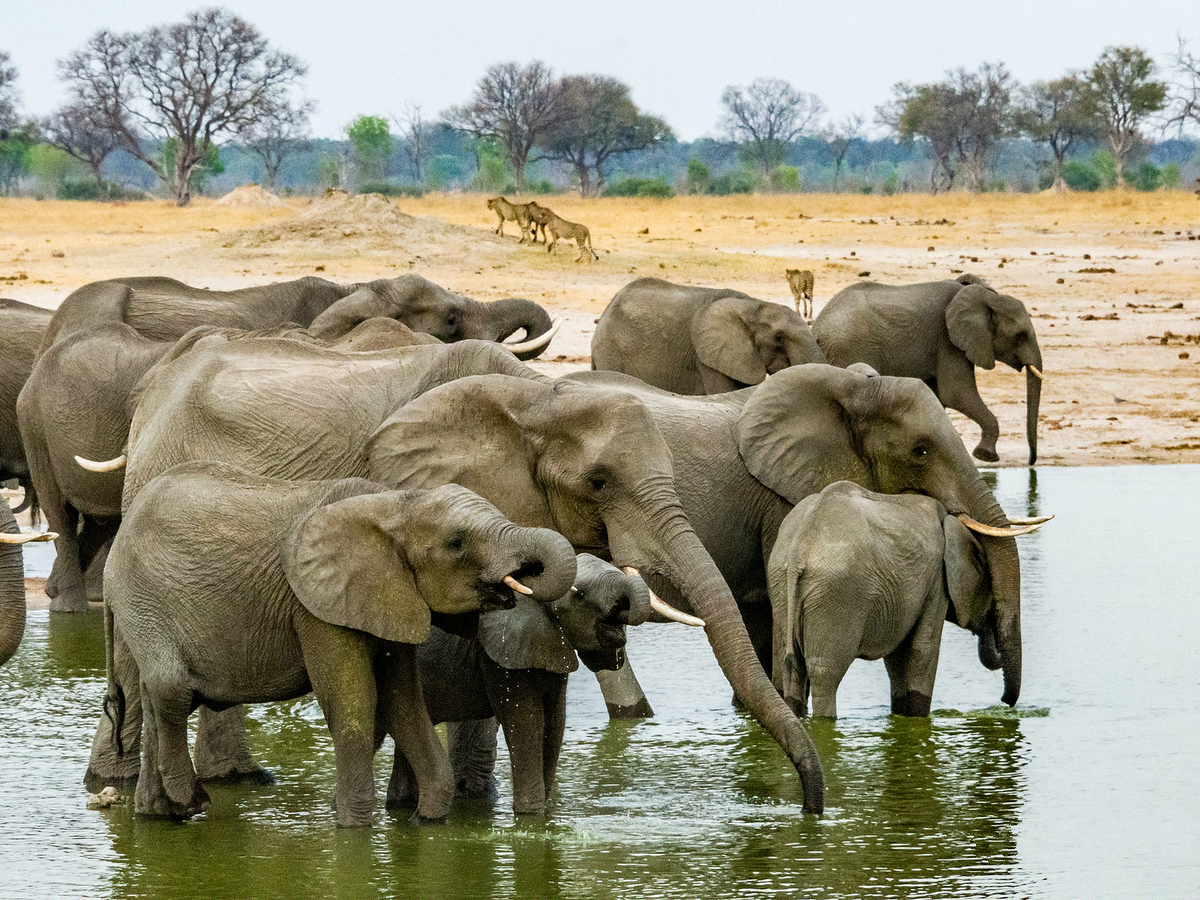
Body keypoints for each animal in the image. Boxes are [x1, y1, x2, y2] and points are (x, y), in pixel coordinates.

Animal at [102, 461, 577, 824]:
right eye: (456, 543)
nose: (526, 573)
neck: (394, 504)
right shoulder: (314, 606)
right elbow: (353, 703)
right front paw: (355, 828)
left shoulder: (387, 597)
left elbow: (404, 702)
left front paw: (424, 822)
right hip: (142, 597)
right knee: (170, 689)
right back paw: (193, 802)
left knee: (151, 695)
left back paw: (156, 816)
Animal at [768, 481, 1025, 718]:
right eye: (988, 581)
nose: (1004, 702)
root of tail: (798, 553)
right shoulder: (935, 582)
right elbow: (922, 651)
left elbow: (898, 659)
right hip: (834, 597)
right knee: (825, 676)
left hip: (781, 591)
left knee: (793, 670)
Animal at [812, 274, 1044, 464]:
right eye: (1021, 335)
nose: (1031, 461)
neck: (986, 298)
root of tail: (817, 328)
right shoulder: (947, 340)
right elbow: (957, 394)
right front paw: (985, 456)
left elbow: (938, 397)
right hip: (851, 348)